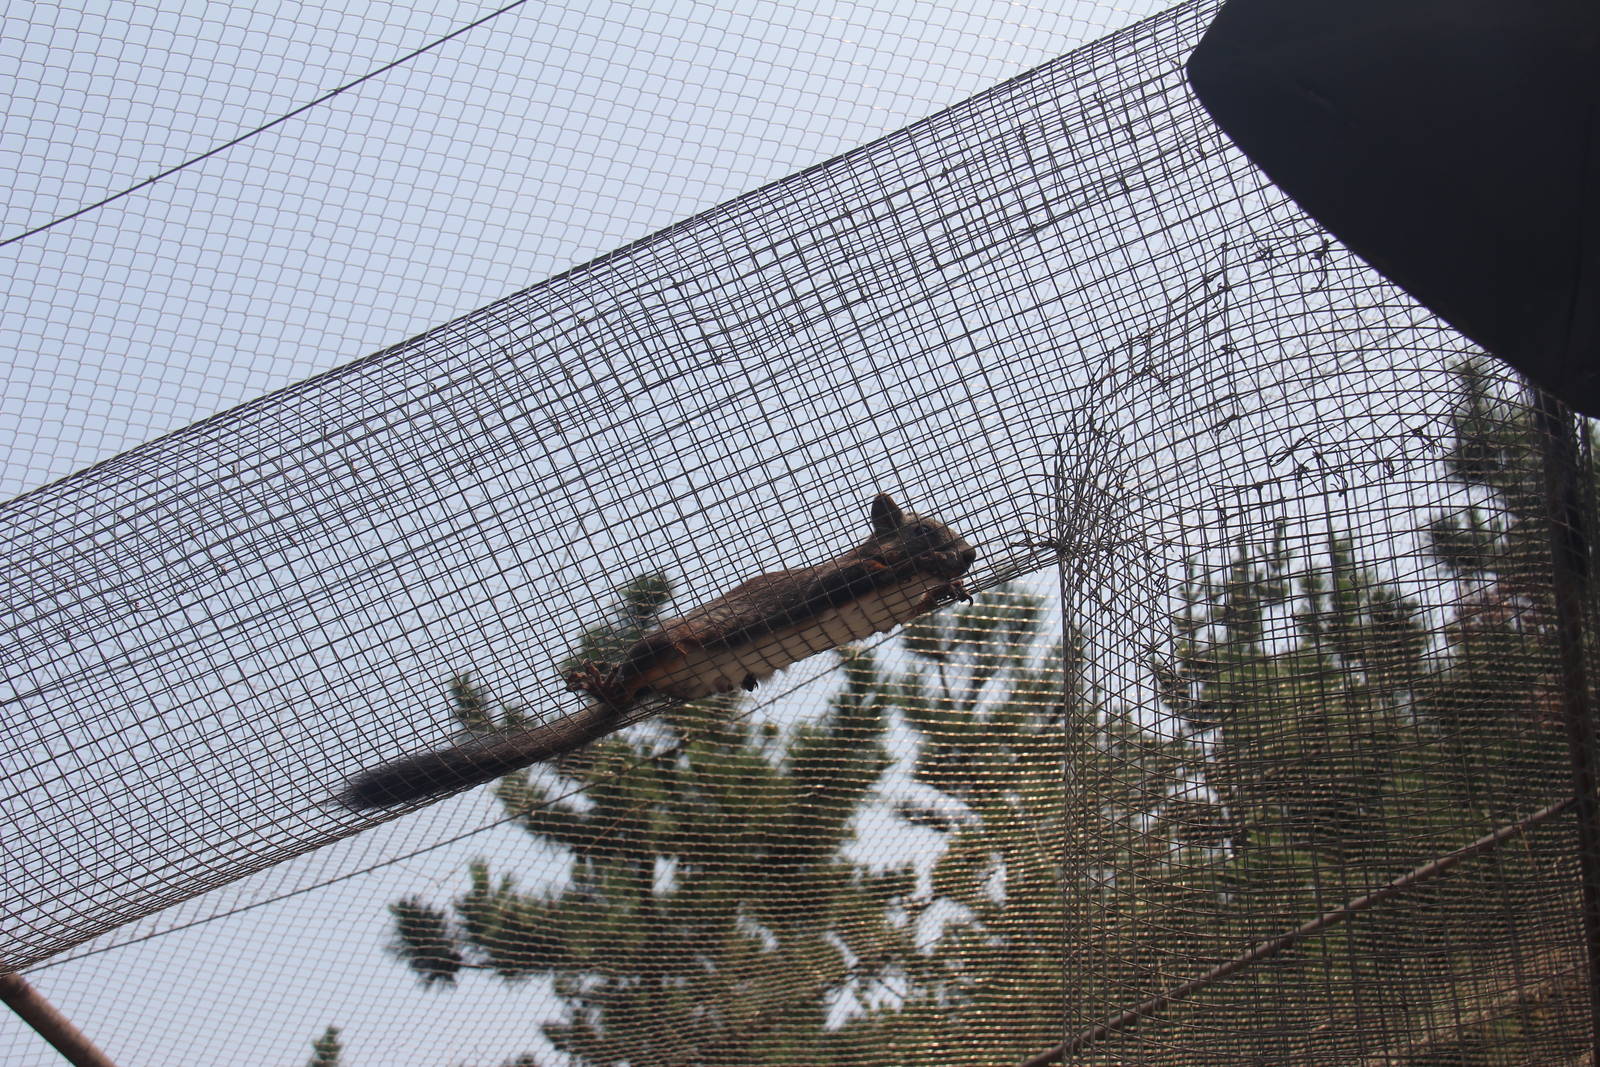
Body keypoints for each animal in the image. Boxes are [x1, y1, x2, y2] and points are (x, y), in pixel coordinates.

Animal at [339, 493, 976, 809]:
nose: (966, 553)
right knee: (630, 671)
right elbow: (869, 574)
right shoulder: (833, 582)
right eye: (922, 529)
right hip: (663, 645)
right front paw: (931, 568)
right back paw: (604, 683)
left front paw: (948, 588)